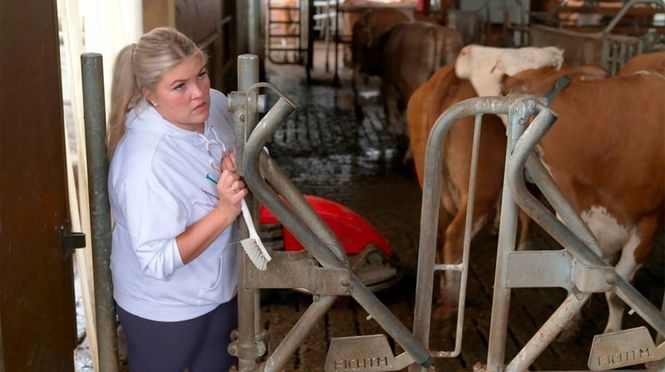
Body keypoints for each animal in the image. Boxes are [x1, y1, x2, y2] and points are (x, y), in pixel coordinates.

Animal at [462, 48, 664, 336]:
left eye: (506, 86)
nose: (465, 51)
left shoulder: (648, 226)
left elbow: (615, 291)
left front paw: (613, 332)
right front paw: (571, 322)